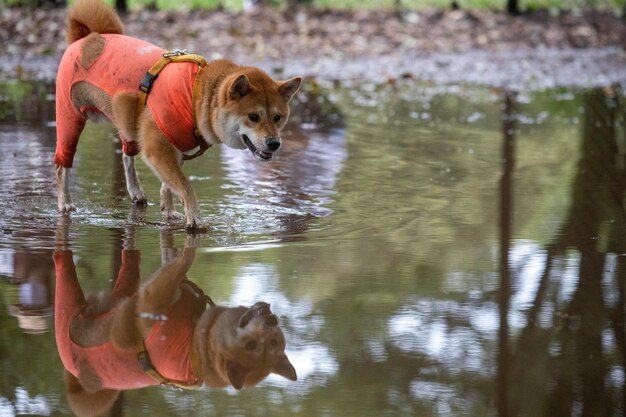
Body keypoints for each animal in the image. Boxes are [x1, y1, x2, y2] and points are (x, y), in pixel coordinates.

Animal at [54, 0, 300, 228]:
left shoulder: (176, 150)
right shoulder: (157, 149)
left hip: (126, 123)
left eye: (277, 118)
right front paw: (196, 219)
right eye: (253, 117)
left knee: (126, 156)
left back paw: (136, 191)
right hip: (69, 117)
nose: (274, 144)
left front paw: (170, 213)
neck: (195, 94)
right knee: (61, 165)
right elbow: (185, 186)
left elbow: (169, 185)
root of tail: (88, 37)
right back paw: (65, 203)